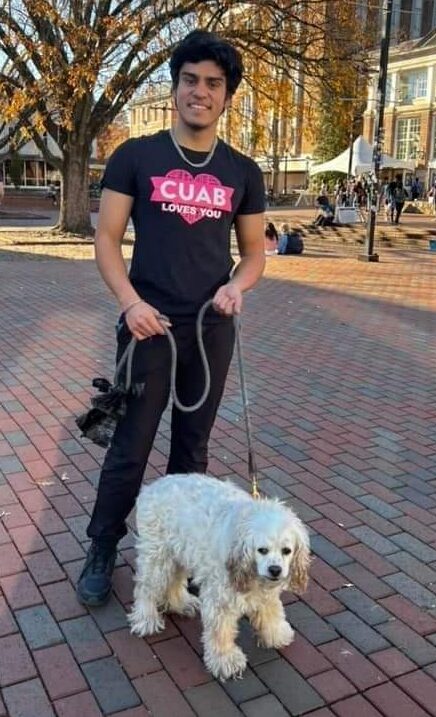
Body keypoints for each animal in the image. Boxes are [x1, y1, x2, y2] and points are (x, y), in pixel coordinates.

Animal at [129, 472, 310, 680]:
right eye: (262, 550)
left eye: (287, 550)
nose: (275, 570)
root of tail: (151, 487)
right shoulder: (220, 598)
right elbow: (220, 632)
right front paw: (225, 660)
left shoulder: (267, 592)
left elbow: (272, 610)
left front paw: (276, 633)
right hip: (157, 557)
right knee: (145, 588)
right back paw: (146, 619)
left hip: (179, 552)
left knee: (173, 581)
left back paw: (181, 603)